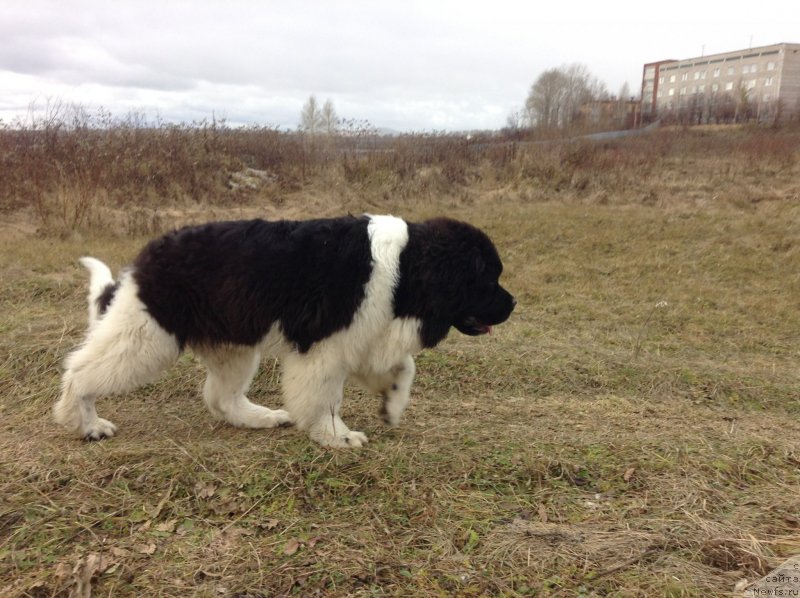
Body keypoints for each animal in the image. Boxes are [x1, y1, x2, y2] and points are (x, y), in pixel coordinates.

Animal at [57, 214, 520, 446]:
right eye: (488, 279)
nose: (513, 304)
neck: (405, 267)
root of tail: (143, 261)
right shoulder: (326, 347)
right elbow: (324, 398)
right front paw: (335, 436)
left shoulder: (361, 335)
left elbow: (404, 367)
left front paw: (392, 404)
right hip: (148, 336)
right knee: (81, 372)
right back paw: (85, 423)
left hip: (232, 342)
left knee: (220, 396)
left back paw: (258, 418)